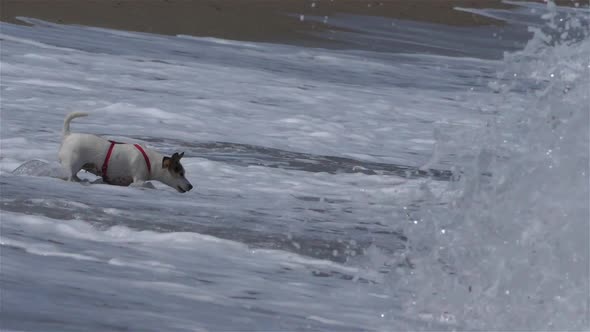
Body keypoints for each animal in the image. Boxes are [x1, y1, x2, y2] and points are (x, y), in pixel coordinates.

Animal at [57, 113, 193, 193]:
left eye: (184, 173)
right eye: (180, 173)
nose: (191, 186)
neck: (151, 161)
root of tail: (68, 135)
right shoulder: (138, 180)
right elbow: (148, 184)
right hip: (72, 165)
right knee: (70, 176)